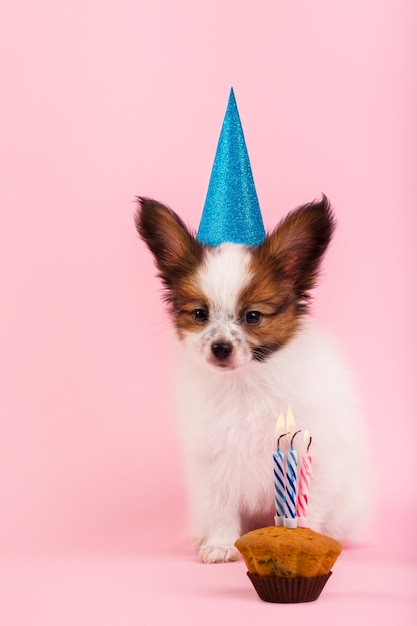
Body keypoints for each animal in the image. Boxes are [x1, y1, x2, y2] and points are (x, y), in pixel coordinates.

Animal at [135, 197, 368, 564]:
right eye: (200, 314)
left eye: (253, 316)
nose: (220, 348)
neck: (244, 382)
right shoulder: (213, 459)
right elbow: (220, 503)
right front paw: (220, 544)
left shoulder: (316, 452)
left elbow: (310, 501)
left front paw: (306, 539)